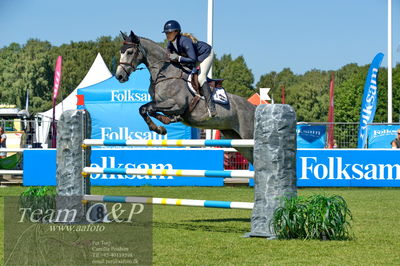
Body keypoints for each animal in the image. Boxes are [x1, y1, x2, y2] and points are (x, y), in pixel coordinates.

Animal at [115, 31, 256, 164]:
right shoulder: (160, 103)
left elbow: (148, 109)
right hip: (236, 138)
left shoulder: (177, 105)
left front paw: (161, 127)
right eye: (121, 52)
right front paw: (162, 127)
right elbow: (145, 109)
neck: (164, 73)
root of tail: (254, 107)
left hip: (247, 135)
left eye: (130, 52)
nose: (119, 76)